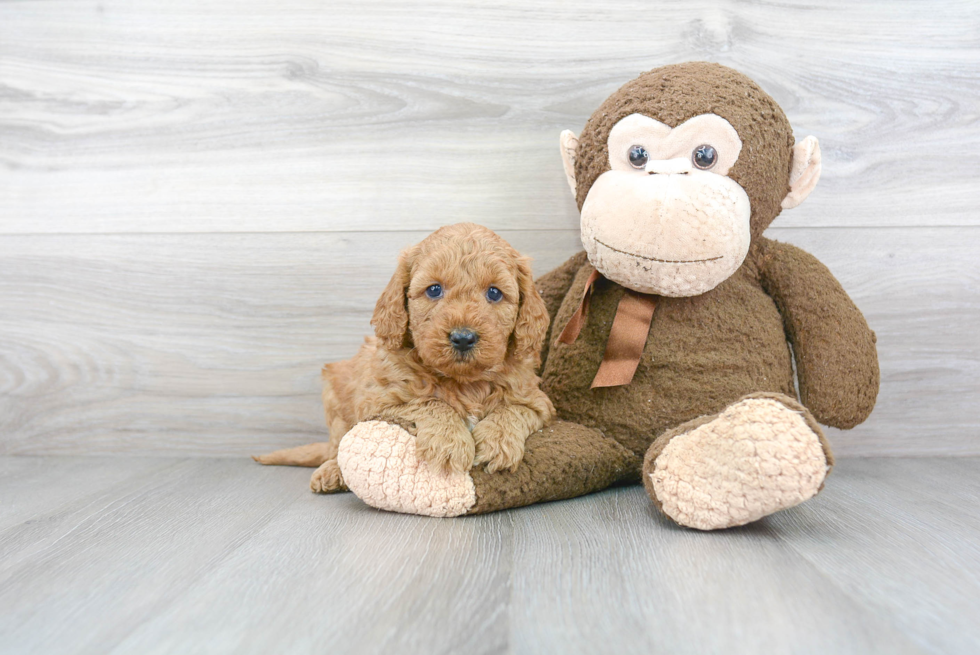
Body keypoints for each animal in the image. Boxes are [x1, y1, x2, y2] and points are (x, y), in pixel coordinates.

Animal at [256, 224, 556, 492]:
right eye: (434, 289)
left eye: (494, 292)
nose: (463, 337)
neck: (464, 381)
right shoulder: (381, 400)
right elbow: (430, 401)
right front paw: (448, 441)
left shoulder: (537, 401)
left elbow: (513, 409)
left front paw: (498, 442)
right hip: (334, 400)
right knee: (337, 445)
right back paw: (332, 472)